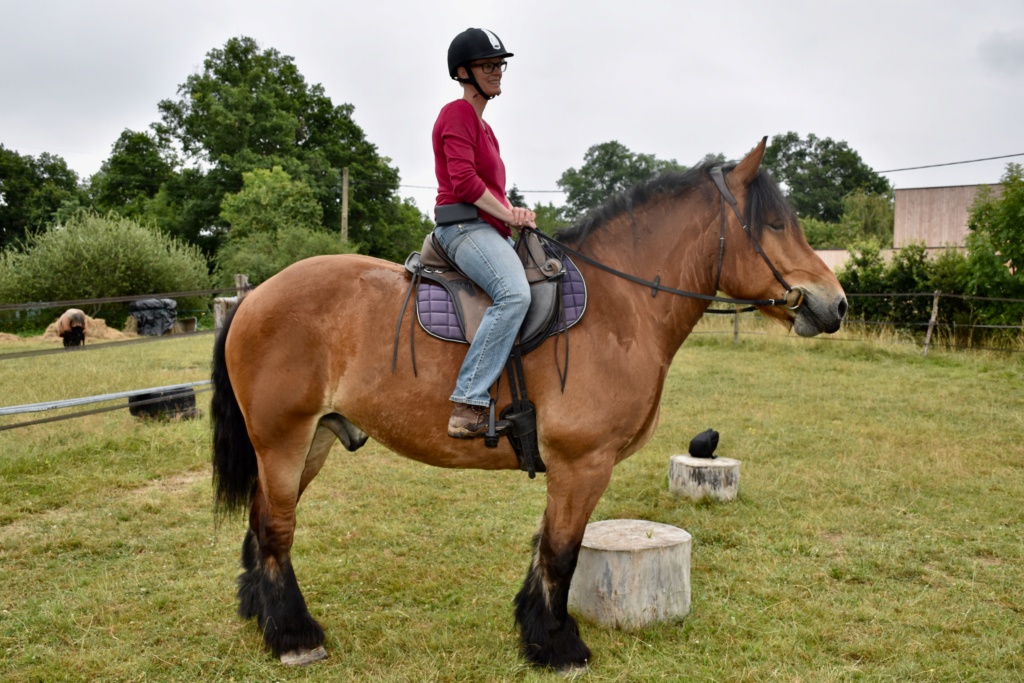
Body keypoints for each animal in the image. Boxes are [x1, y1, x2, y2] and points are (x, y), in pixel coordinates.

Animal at [209, 137, 847, 667]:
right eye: (774, 224)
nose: (836, 303)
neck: (619, 305)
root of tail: (254, 297)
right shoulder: (582, 463)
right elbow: (562, 553)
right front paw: (559, 646)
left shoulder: (570, 468)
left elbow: (545, 547)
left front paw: (535, 630)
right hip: (284, 440)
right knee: (276, 529)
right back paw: (294, 636)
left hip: (312, 440)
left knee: (263, 523)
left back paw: (261, 613)